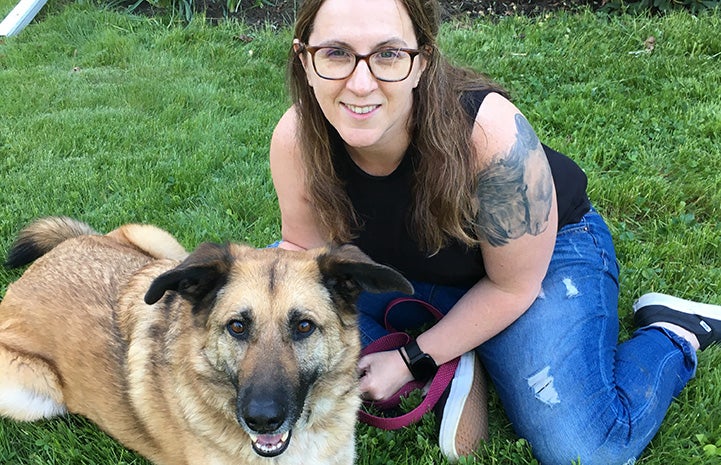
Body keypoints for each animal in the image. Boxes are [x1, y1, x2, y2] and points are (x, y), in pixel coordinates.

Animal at [0, 218, 410, 464]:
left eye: (304, 327)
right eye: (237, 327)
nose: (262, 420)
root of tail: (39, 268)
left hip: (162, 248)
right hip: (31, 394)